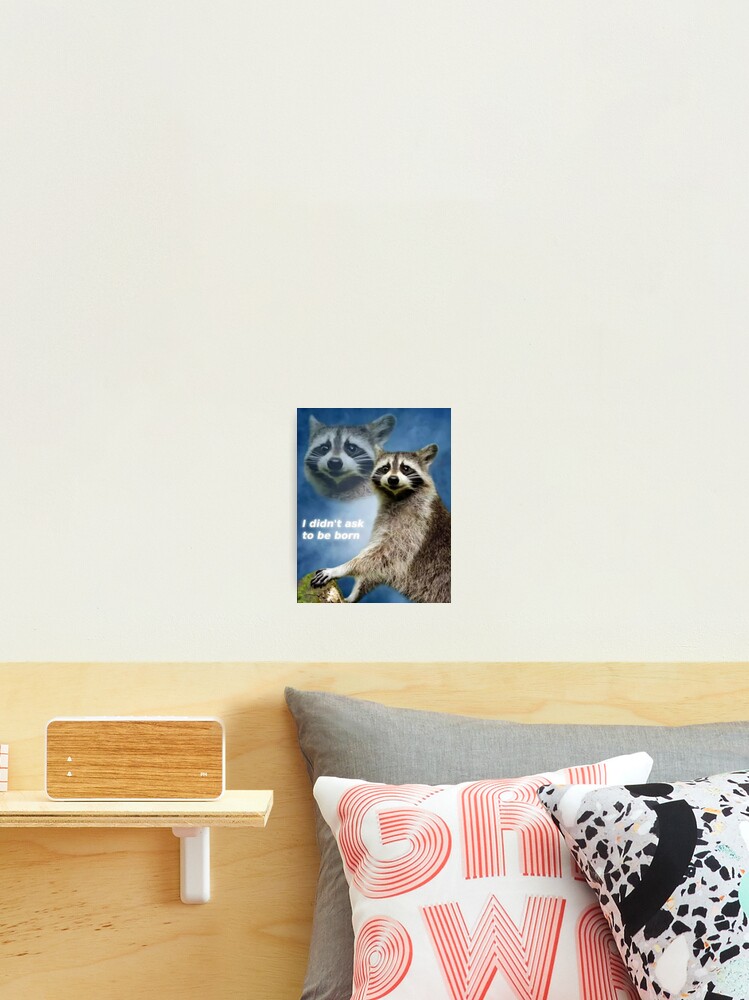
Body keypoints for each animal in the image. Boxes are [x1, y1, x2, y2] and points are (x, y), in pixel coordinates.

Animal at [311, 443, 451, 602]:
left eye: (405, 468)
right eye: (385, 468)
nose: (393, 479)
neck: (397, 496)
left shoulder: (416, 523)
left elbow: (387, 554)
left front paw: (341, 568)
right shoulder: (386, 520)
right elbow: (380, 565)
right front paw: (355, 593)